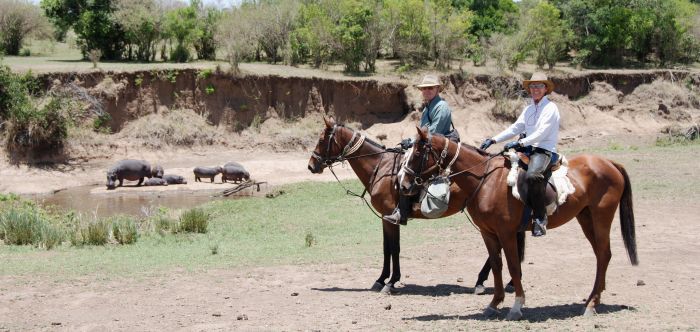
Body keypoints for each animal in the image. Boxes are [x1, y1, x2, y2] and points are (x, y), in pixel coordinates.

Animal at [308, 116, 524, 294]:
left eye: (321, 140)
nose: (311, 165)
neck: (380, 167)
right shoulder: (386, 218)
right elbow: (387, 248)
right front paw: (381, 279)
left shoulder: (391, 218)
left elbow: (394, 249)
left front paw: (390, 282)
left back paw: (483, 281)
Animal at [400, 127, 640, 320]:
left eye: (418, 154)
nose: (404, 185)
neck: (485, 180)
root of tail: (610, 163)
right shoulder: (488, 233)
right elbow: (496, 265)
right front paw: (494, 304)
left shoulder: (507, 233)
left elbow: (513, 266)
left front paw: (516, 306)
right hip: (586, 218)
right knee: (601, 255)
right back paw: (593, 299)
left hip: (601, 217)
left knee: (604, 254)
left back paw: (591, 304)